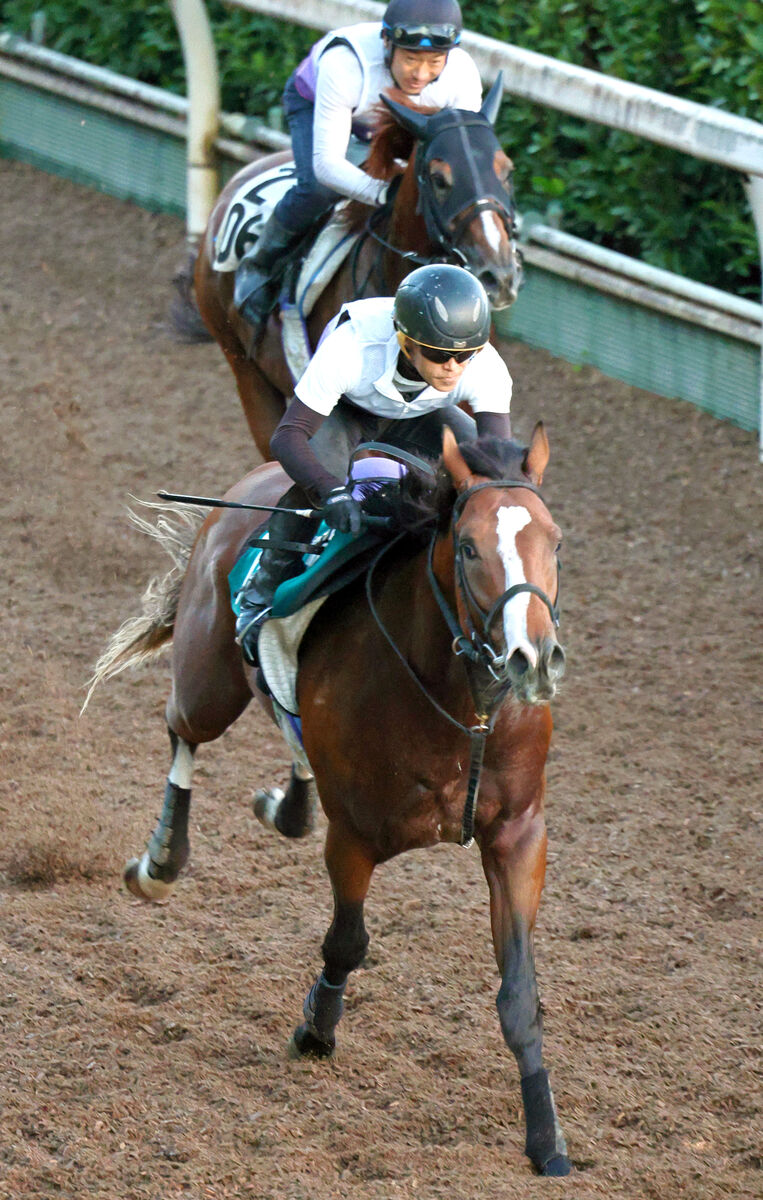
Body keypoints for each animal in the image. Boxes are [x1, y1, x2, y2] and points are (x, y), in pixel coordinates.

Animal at [86, 427, 568, 1176]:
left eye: (554, 540)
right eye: (467, 547)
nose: (532, 657)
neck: (461, 706)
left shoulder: (518, 835)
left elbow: (519, 995)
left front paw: (545, 1138)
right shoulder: (354, 836)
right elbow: (347, 942)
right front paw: (315, 1028)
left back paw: (283, 804)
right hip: (208, 679)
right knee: (180, 729)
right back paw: (160, 861)